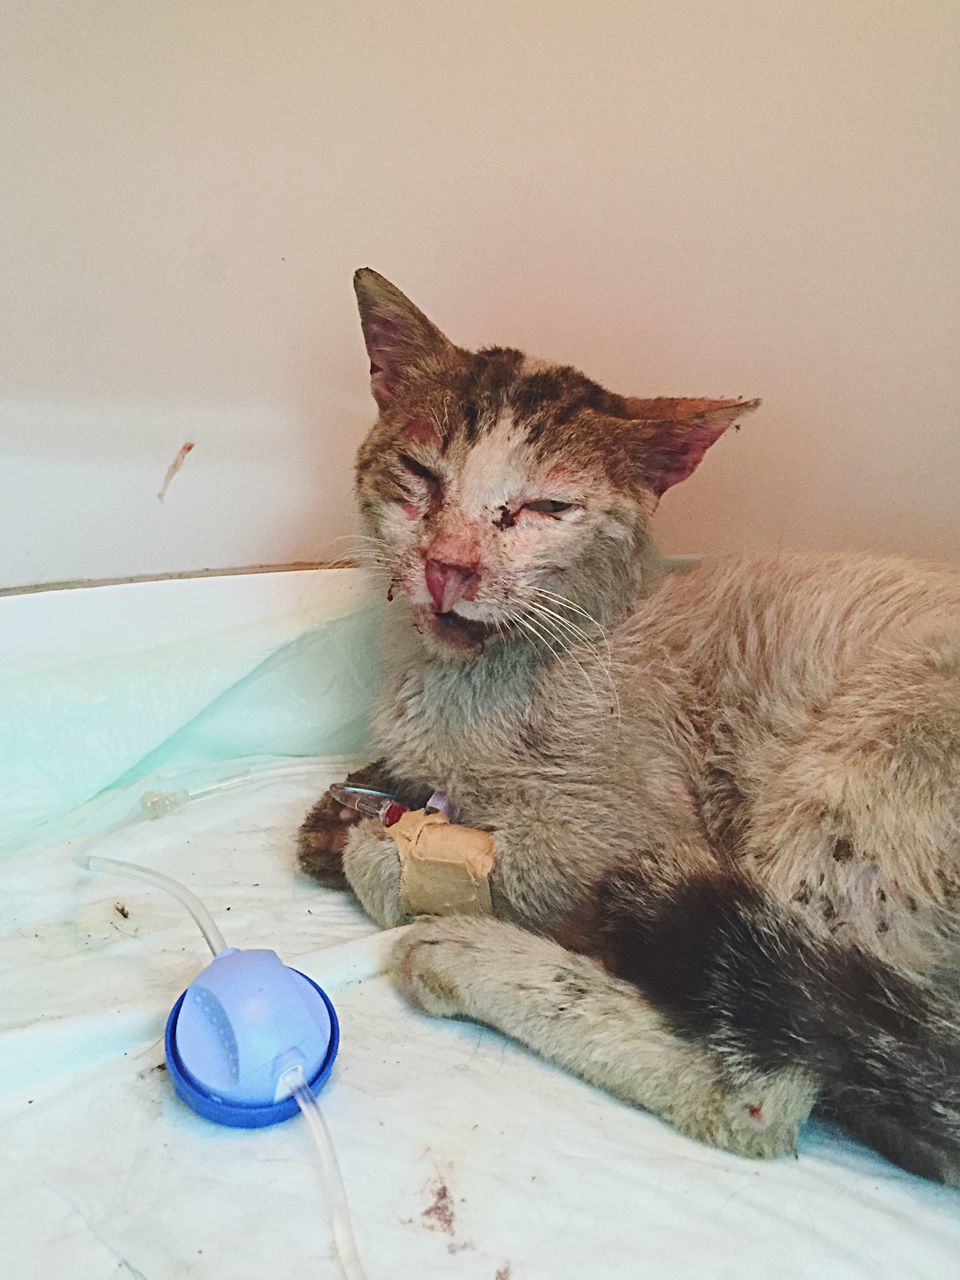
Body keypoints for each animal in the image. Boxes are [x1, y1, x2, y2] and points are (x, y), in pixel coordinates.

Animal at [300, 264, 960, 1182]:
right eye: (420, 473)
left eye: (544, 507)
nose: (446, 565)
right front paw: (348, 810)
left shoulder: (626, 835)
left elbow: (461, 862)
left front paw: (383, 851)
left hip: (857, 763)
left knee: (755, 1086)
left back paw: (470, 959)